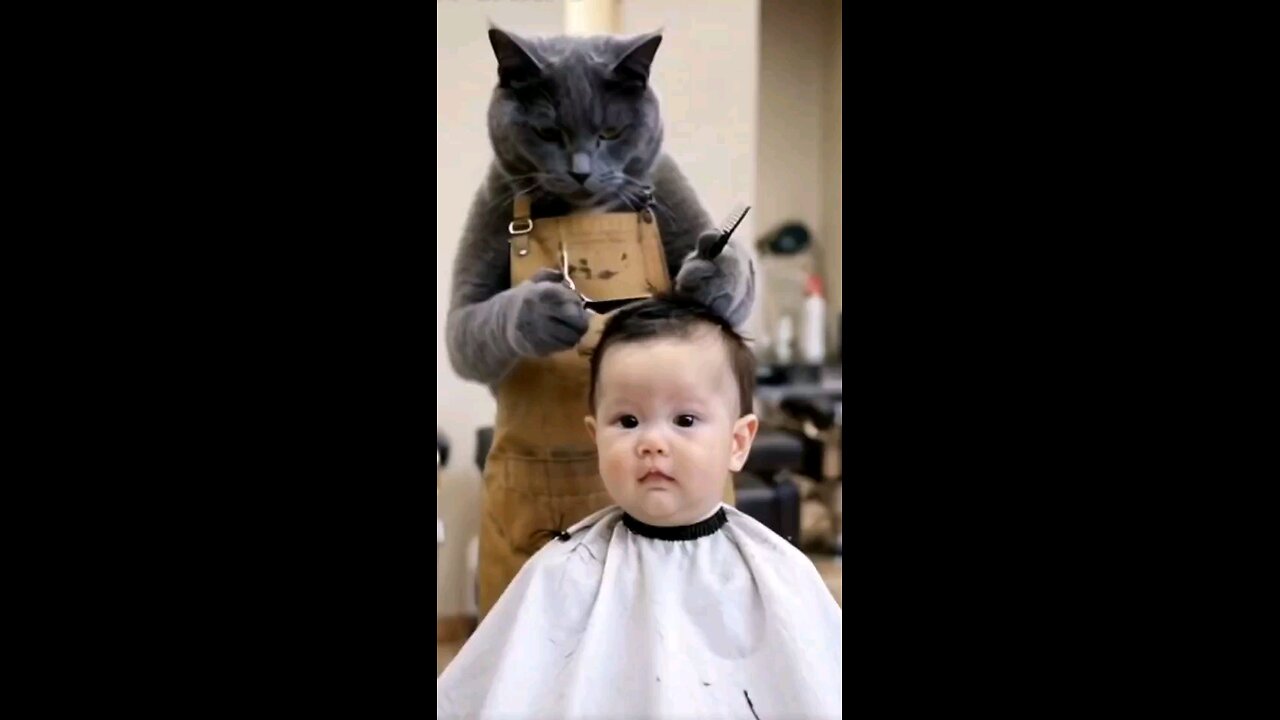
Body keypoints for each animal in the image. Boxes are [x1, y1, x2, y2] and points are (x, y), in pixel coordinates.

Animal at [448, 26, 752, 386]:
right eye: (547, 133)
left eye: (611, 132)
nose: (581, 172)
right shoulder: (490, 215)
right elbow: (470, 326)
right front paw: (540, 309)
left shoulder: (672, 192)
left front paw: (712, 273)